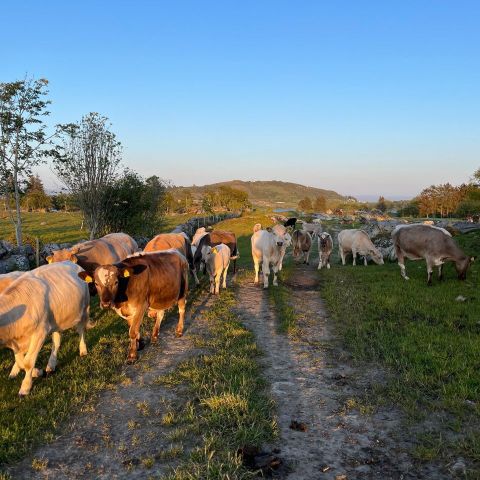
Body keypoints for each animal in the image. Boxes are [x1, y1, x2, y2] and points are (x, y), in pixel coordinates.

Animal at [0, 262, 90, 394]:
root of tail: (71, 262)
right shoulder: (15, 341)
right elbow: (20, 362)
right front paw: (36, 372)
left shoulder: (39, 333)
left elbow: (27, 362)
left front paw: (25, 386)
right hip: (57, 319)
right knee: (57, 341)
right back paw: (51, 365)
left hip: (83, 309)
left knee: (81, 331)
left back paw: (83, 350)